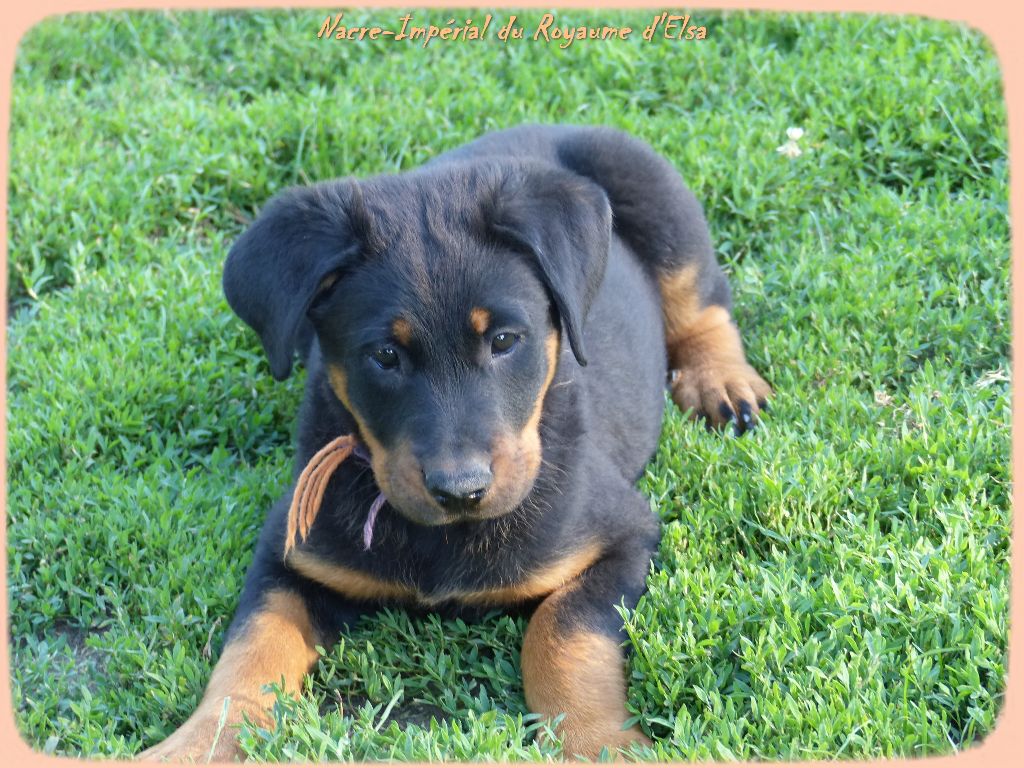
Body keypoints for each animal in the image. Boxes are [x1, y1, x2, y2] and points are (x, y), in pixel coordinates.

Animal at [138, 125, 771, 762]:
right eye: (385, 356)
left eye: (505, 340)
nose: (460, 491)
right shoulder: (288, 550)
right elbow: (251, 652)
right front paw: (195, 745)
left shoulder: (625, 536)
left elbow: (561, 633)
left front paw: (601, 745)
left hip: (661, 206)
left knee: (703, 302)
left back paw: (722, 382)